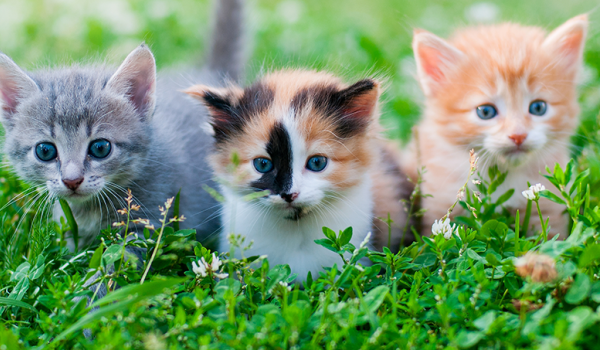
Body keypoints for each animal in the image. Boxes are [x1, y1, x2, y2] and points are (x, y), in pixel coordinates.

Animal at [406, 15, 588, 237]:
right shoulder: (441, 202)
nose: (518, 135)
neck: (502, 173)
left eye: (538, 108)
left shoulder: (548, 208)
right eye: (485, 112)